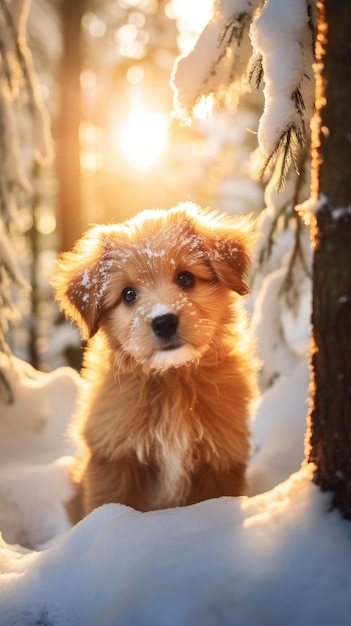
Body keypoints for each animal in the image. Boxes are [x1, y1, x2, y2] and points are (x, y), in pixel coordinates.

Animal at [54, 202, 258, 520]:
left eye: (186, 278)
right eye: (128, 294)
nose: (164, 322)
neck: (171, 379)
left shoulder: (222, 460)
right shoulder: (111, 458)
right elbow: (106, 506)